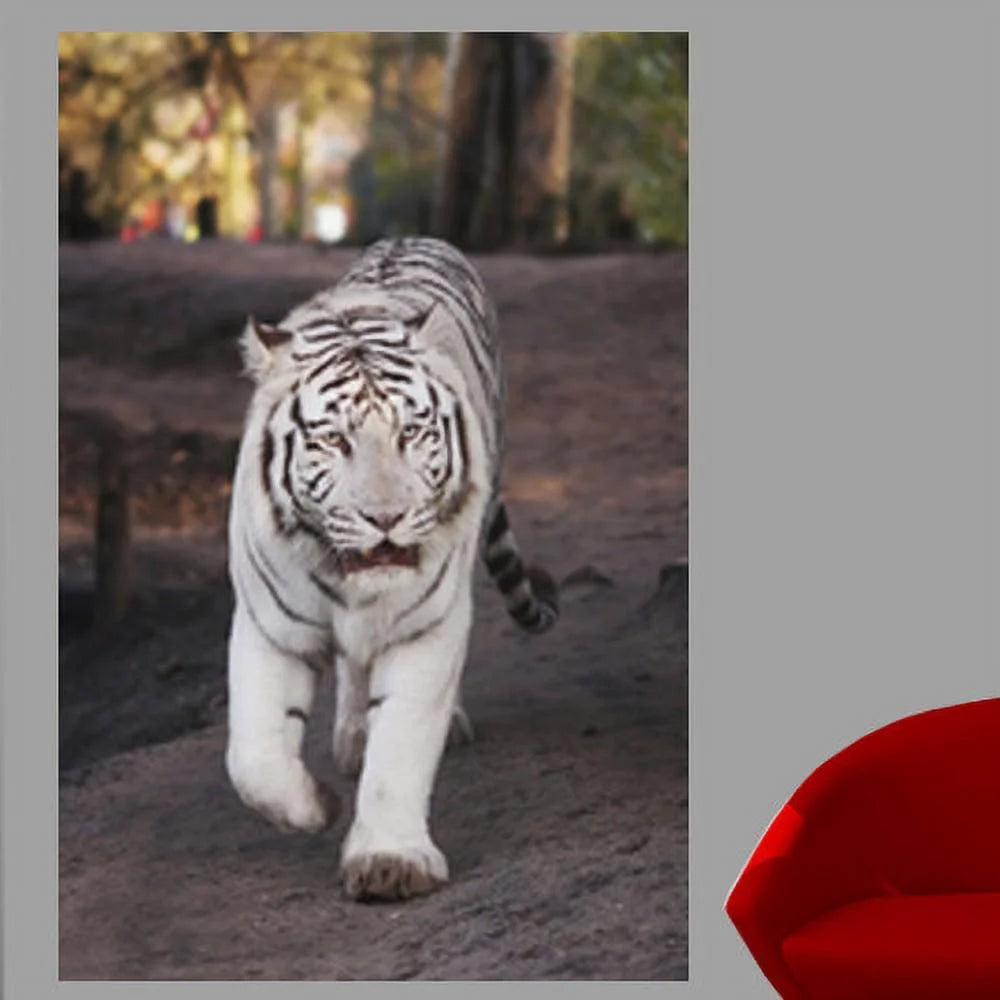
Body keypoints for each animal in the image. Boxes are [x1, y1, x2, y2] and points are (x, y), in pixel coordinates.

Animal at [226, 235, 558, 902]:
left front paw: (390, 861)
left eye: (412, 432)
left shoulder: (424, 629)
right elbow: (253, 758)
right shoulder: (269, 627)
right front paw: (316, 806)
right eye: (333, 440)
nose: (386, 517)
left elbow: (401, 747)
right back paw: (351, 740)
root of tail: (412, 238)